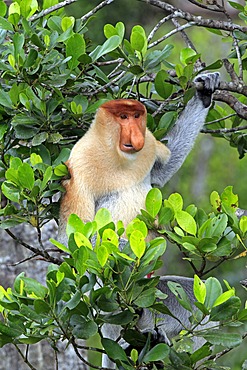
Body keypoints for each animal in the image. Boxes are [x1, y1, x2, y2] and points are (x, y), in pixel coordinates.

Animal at [58, 72, 220, 243]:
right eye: (123, 116)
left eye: (136, 116)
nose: (136, 135)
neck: (116, 155)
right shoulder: (80, 163)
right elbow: (72, 237)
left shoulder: (149, 141)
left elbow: (163, 169)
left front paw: (204, 91)